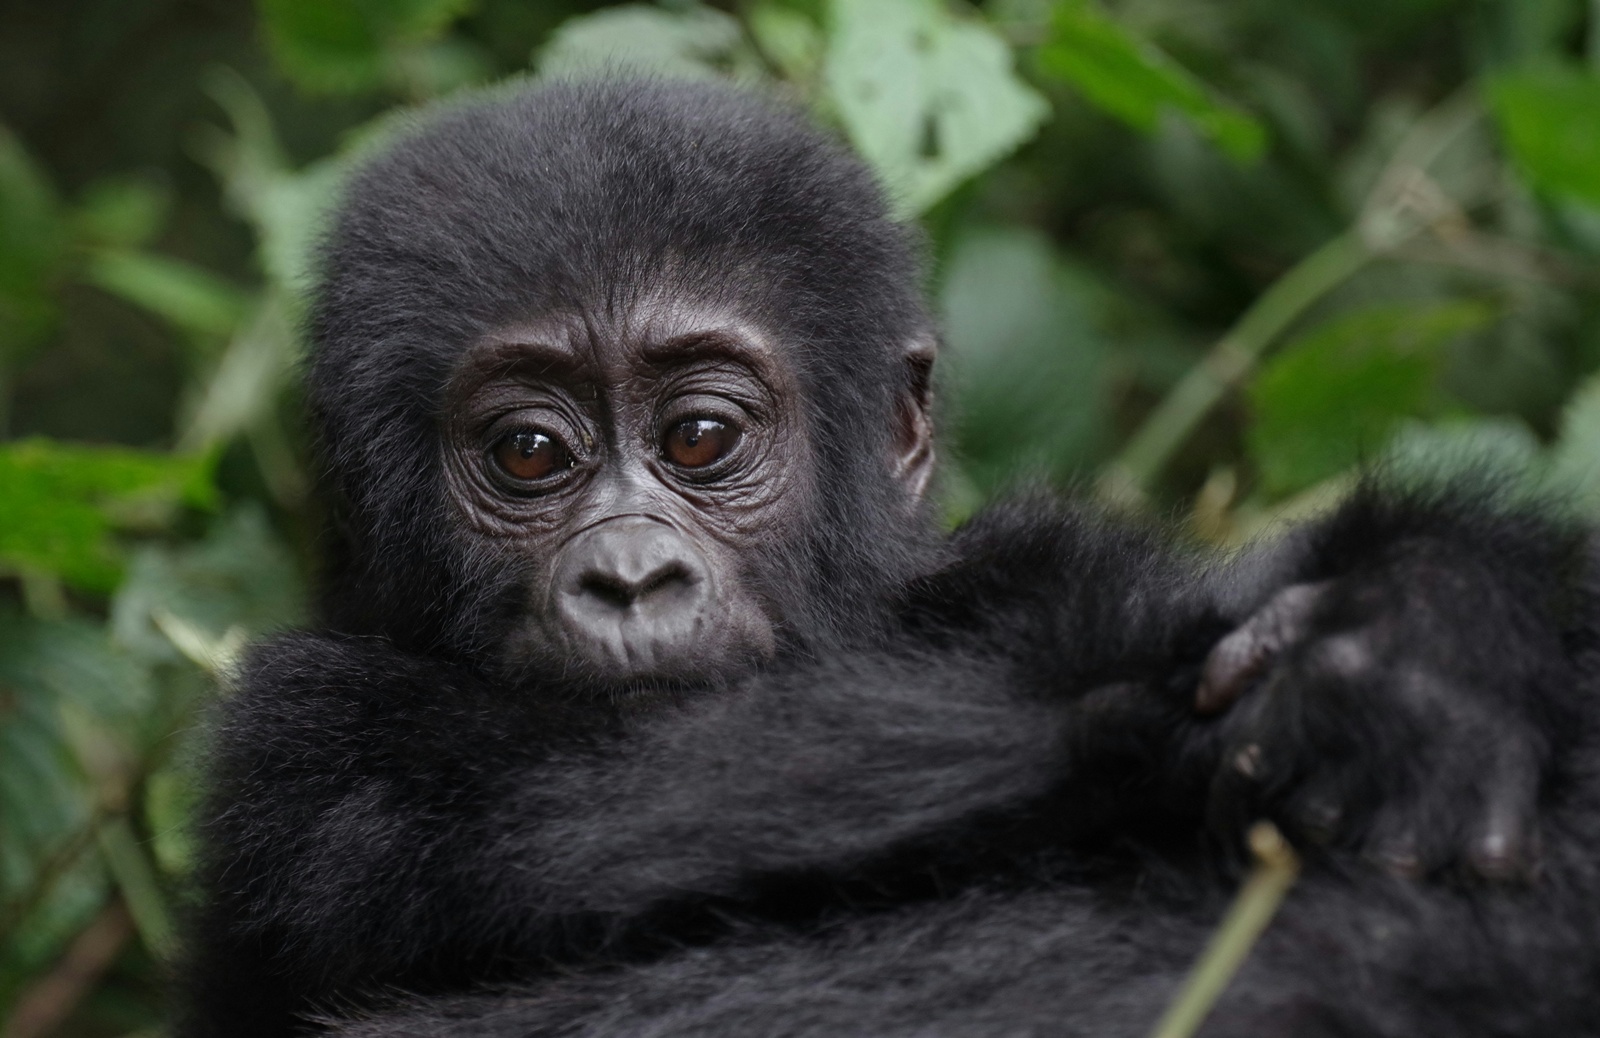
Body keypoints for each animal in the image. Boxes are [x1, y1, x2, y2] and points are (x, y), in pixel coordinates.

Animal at [181, 80, 1600, 1036]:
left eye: (700, 437)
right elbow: (573, 823)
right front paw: (1230, 705)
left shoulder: (1011, 561)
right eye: (530, 454)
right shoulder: (292, 737)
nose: (630, 579)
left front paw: (1430, 623)